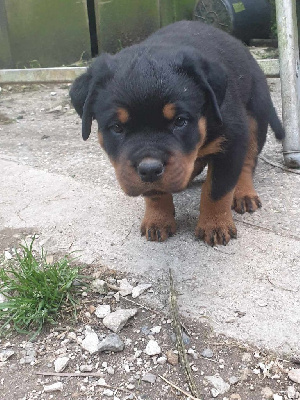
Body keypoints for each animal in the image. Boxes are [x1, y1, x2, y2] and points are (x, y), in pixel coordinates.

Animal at [69, 21, 284, 247]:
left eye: (180, 121)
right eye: (117, 127)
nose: (149, 170)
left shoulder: (233, 139)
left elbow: (217, 189)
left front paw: (215, 225)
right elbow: (154, 193)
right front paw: (158, 219)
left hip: (255, 117)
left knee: (248, 160)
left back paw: (244, 193)